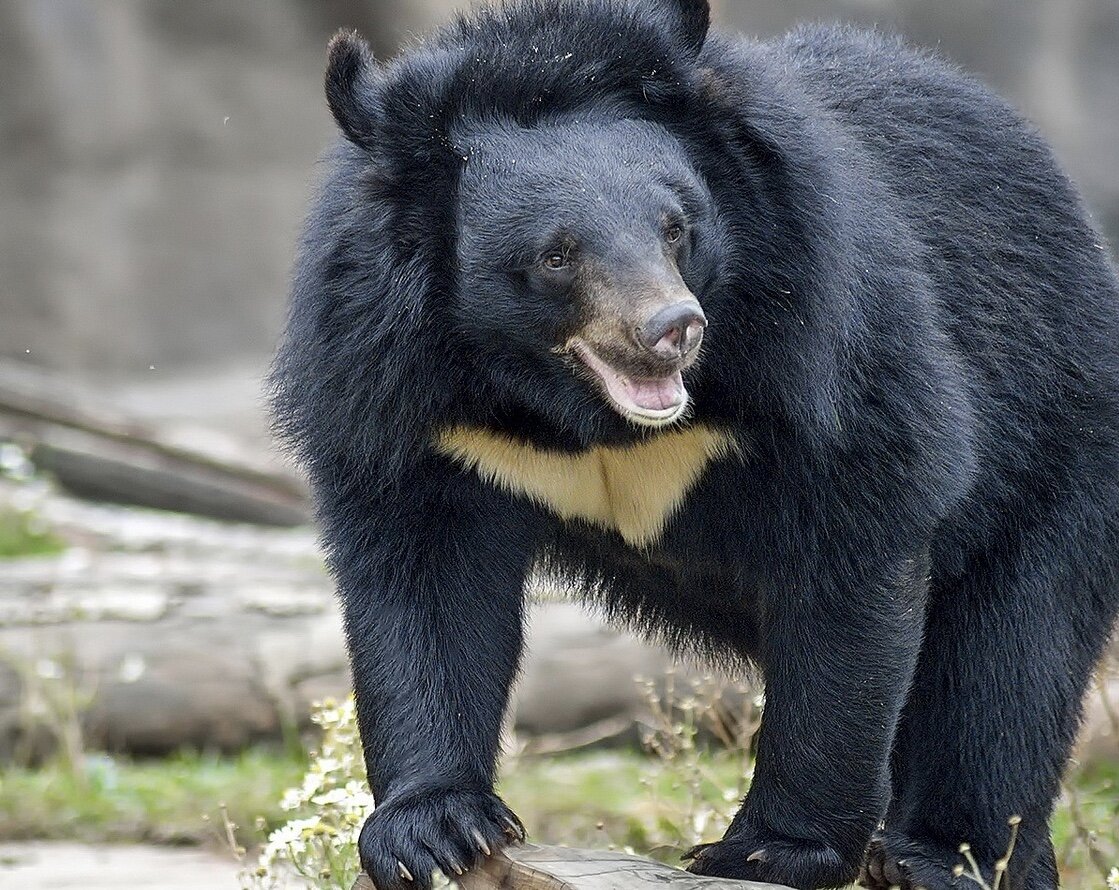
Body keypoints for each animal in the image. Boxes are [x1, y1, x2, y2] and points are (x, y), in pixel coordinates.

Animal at [268, 1, 1119, 890]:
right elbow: (424, 581)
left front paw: (767, 849)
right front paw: (434, 830)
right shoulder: (397, 391)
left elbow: (850, 569)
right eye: (556, 255)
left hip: (1059, 435)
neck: (576, 414)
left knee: (1008, 657)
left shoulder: (825, 346)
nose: (671, 328)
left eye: (675, 227)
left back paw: (943, 856)